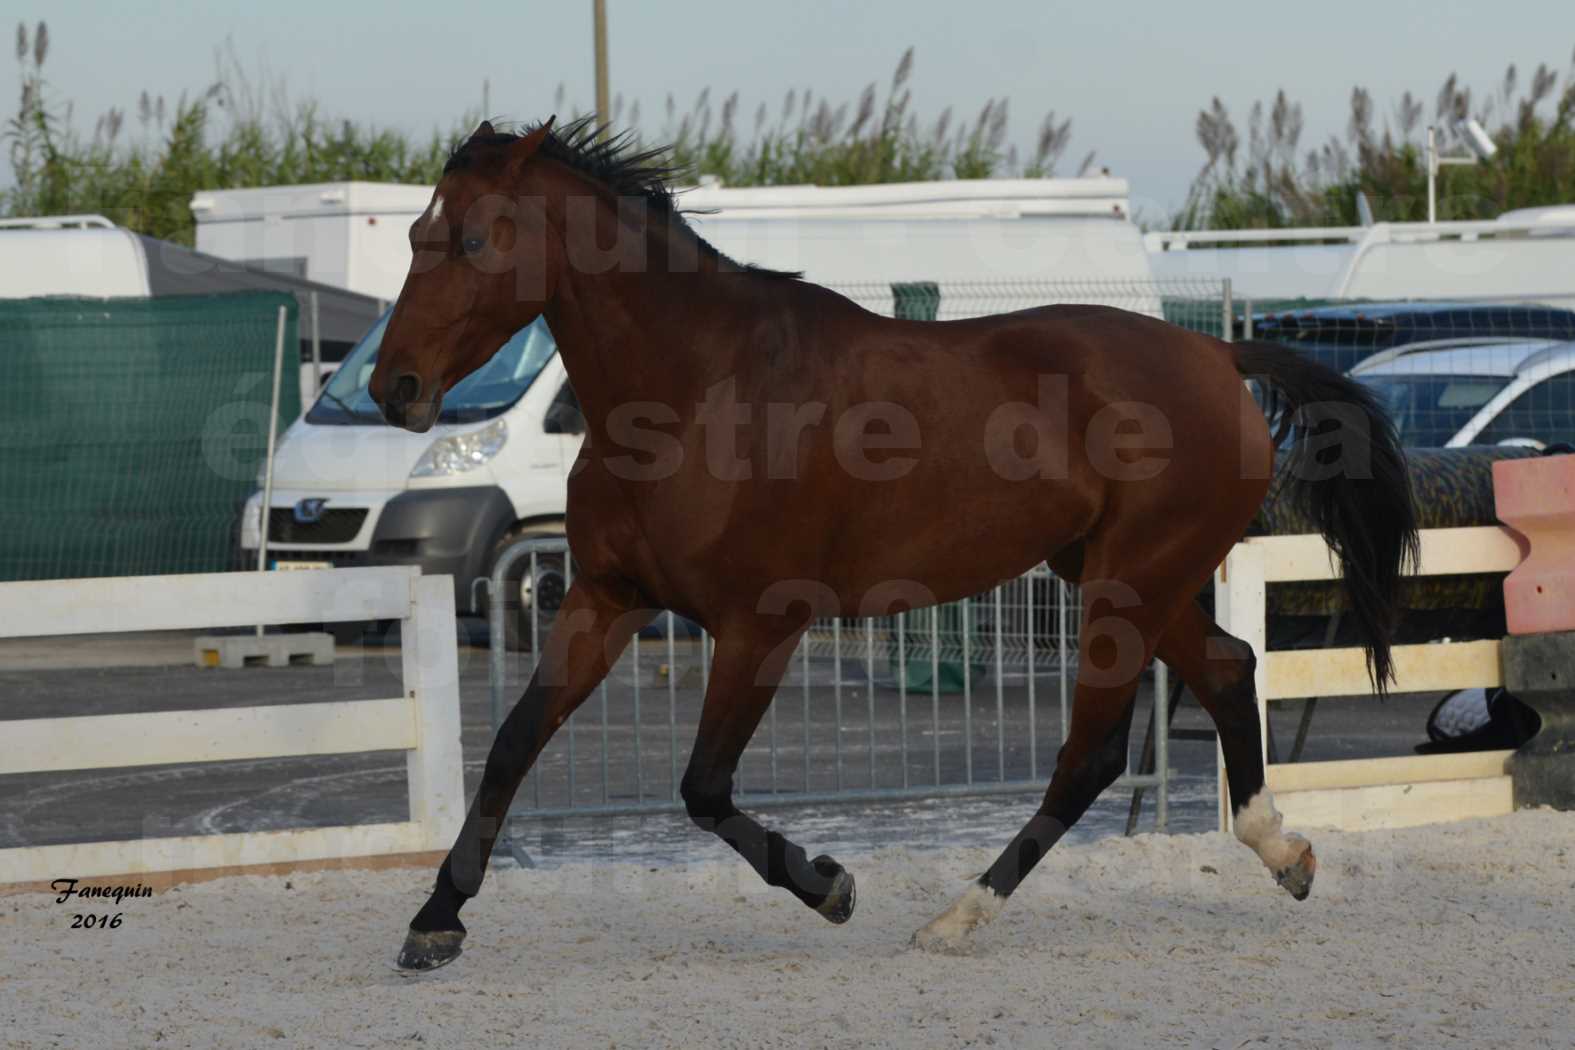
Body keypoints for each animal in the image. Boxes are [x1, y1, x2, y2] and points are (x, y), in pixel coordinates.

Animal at [368, 117, 1417, 969]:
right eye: (417, 237)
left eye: (470, 239)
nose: (394, 388)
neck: (695, 390)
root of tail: (1217, 352)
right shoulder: (606, 597)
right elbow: (511, 745)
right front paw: (433, 923)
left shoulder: (760, 624)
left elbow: (703, 786)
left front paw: (830, 884)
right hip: (1124, 577)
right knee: (1230, 666)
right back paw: (1284, 854)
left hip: (1130, 583)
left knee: (1092, 754)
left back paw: (956, 919)